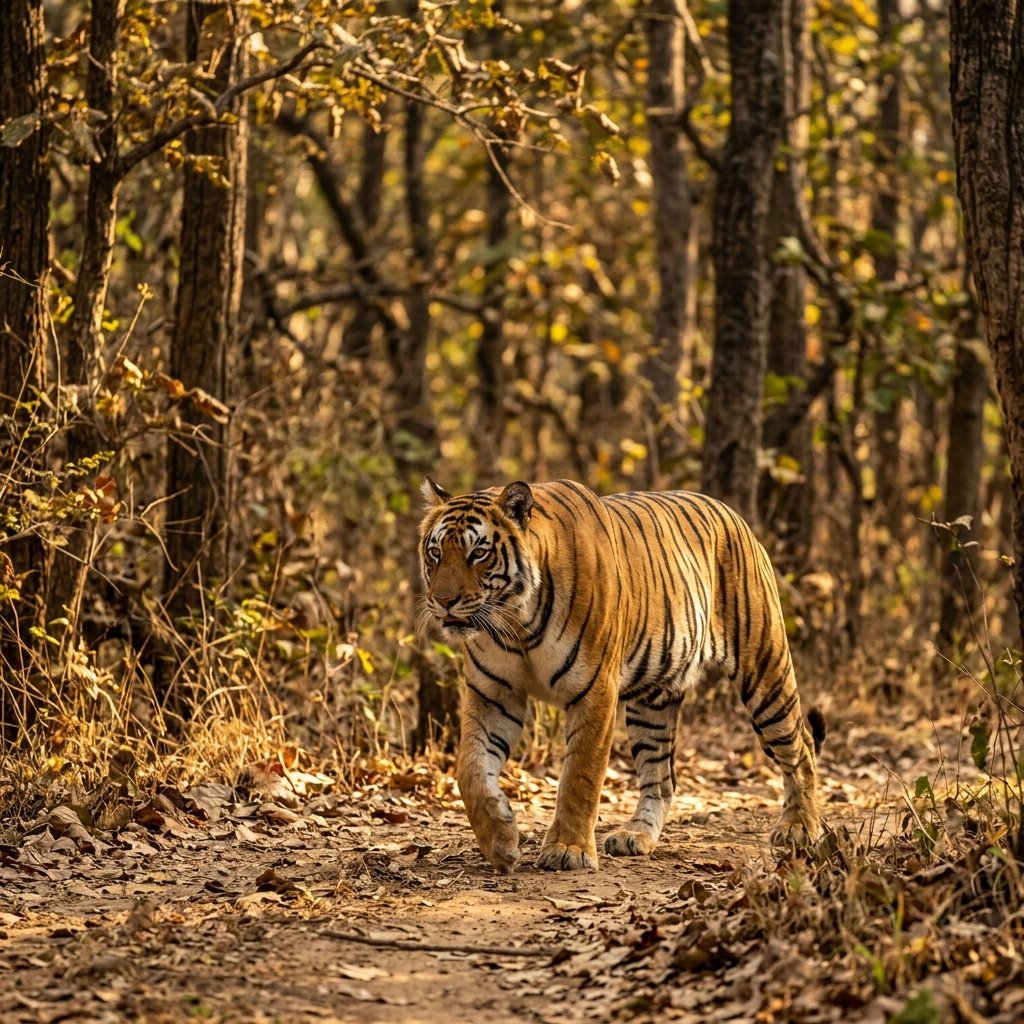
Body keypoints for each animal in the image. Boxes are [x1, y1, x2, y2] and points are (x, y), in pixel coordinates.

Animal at [418, 477, 825, 873]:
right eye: (435, 553)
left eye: (479, 553)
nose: (443, 601)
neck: (517, 623)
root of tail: (734, 515)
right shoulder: (493, 694)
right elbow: (470, 770)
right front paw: (500, 840)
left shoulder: (594, 689)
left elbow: (581, 775)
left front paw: (568, 850)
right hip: (653, 702)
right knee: (662, 778)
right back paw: (636, 836)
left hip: (765, 672)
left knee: (800, 747)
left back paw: (799, 829)